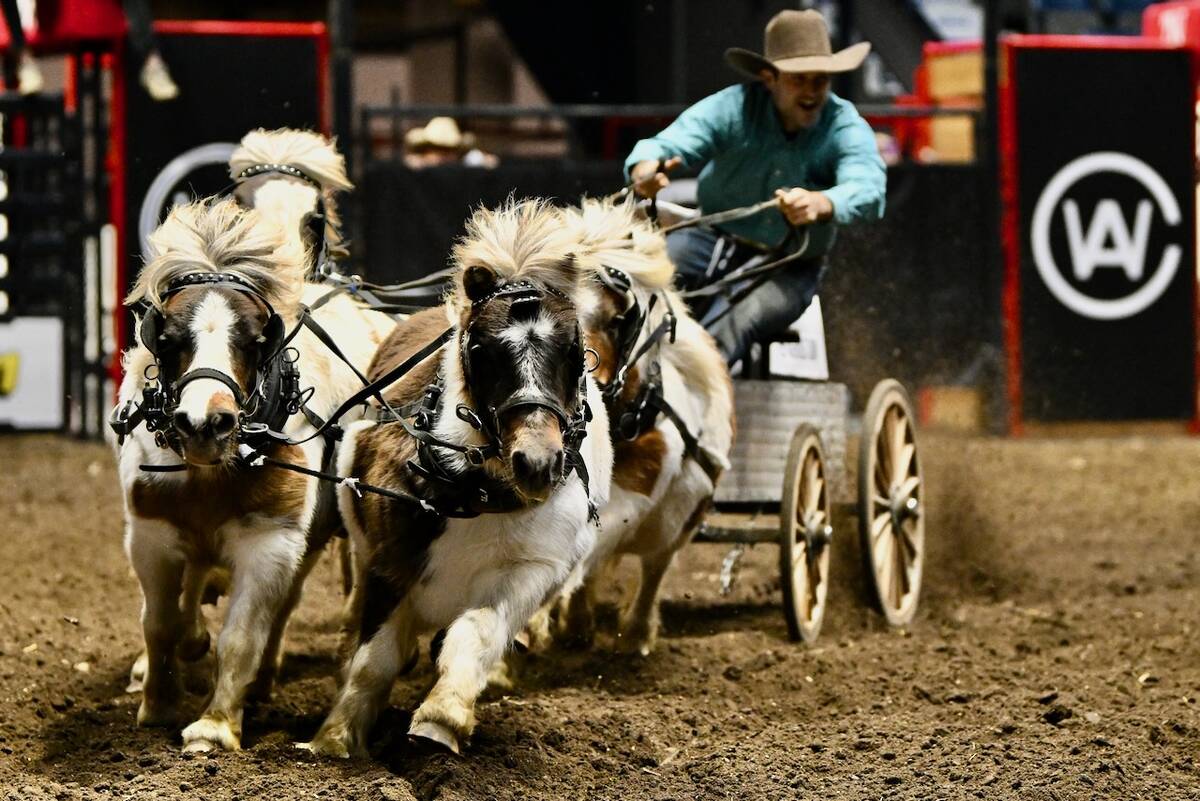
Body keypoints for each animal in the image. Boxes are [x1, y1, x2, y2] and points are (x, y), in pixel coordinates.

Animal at [110, 197, 393, 752]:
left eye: (255, 339)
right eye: (168, 339)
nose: (204, 423)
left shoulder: (272, 542)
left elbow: (242, 636)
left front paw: (215, 726)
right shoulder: (149, 537)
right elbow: (159, 624)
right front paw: (158, 703)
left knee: (283, 607)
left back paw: (263, 680)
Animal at [299, 200, 613, 758]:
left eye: (575, 350)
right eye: (484, 350)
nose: (538, 461)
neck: (477, 493)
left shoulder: (530, 572)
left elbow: (475, 637)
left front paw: (440, 720)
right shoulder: (389, 562)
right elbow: (373, 661)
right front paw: (336, 738)